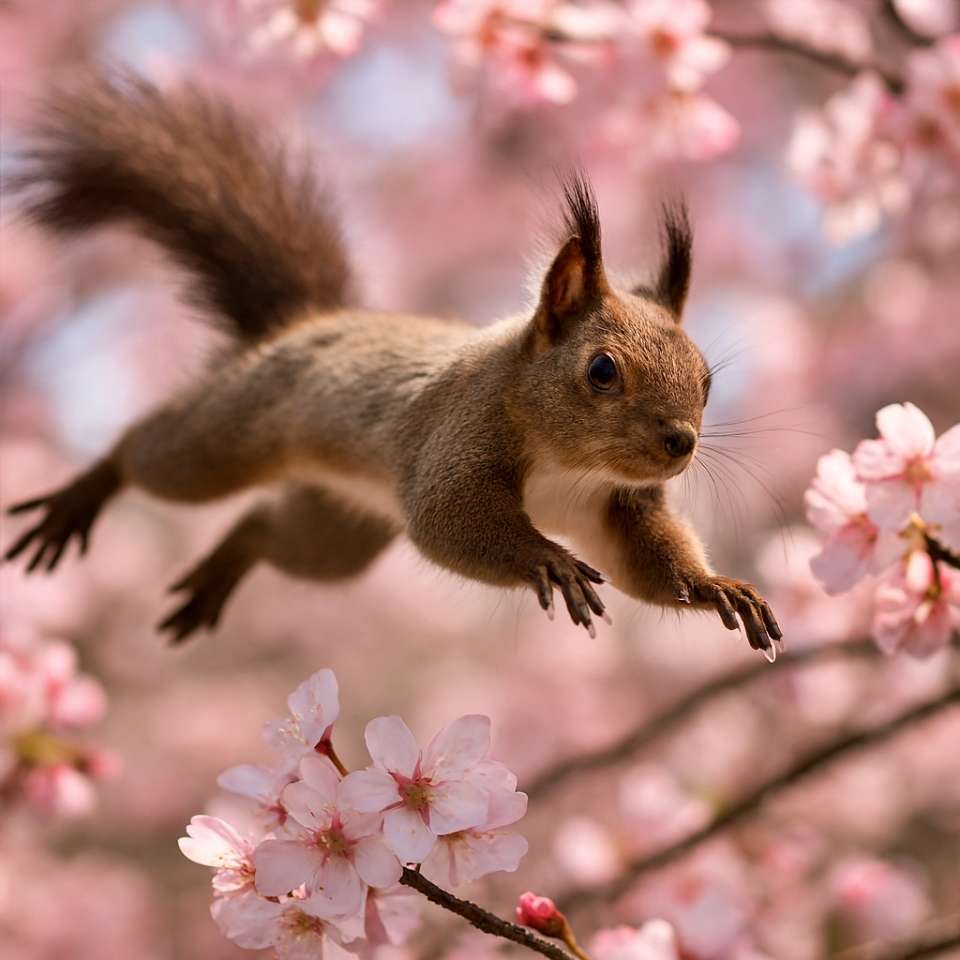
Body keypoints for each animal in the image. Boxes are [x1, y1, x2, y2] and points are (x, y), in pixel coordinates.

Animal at [4, 72, 782, 659]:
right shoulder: (457, 439)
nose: (680, 443)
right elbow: (448, 522)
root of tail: (309, 323)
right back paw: (86, 493)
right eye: (601, 371)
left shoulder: (618, 506)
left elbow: (649, 563)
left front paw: (718, 587)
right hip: (232, 435)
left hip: (339, 529)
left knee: (267, 530)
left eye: (708, 379)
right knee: (153, 456)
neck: (571, 466)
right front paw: (549, 558)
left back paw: (221, 569)